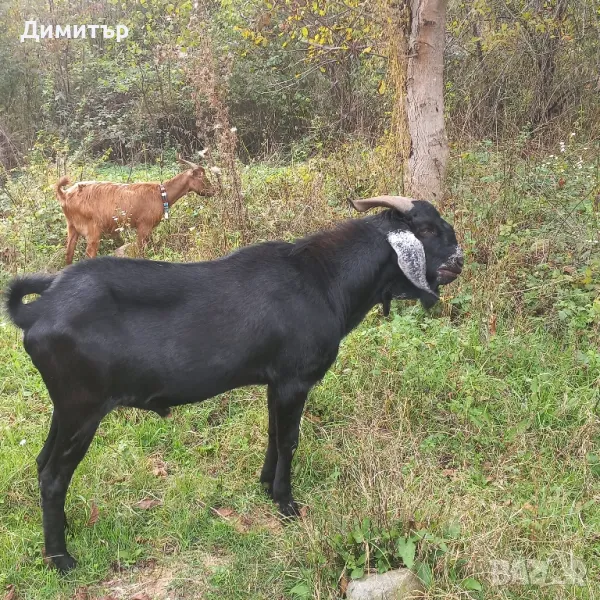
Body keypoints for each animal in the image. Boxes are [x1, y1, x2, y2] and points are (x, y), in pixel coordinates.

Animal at [5, 197, 464, 572]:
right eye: (425, 230)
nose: (459, 260)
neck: (323, 279)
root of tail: (41, 309)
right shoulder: (295, 380)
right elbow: (289, 439)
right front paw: (286, 503)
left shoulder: (275, 381)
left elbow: (273, 432)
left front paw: (264, 485)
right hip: (83, 406)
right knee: (54, 476)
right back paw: (61, 559)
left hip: (65, 406)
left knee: (43, 463)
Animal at [53, 158, 213, 264]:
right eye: (202, 178)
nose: (214, 191)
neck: (161, 194)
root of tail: (65, 194)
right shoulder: (144, 226)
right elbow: (141, 251)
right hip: (92, 229)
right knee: (89, 255)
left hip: (72, 227)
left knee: (68, 254)